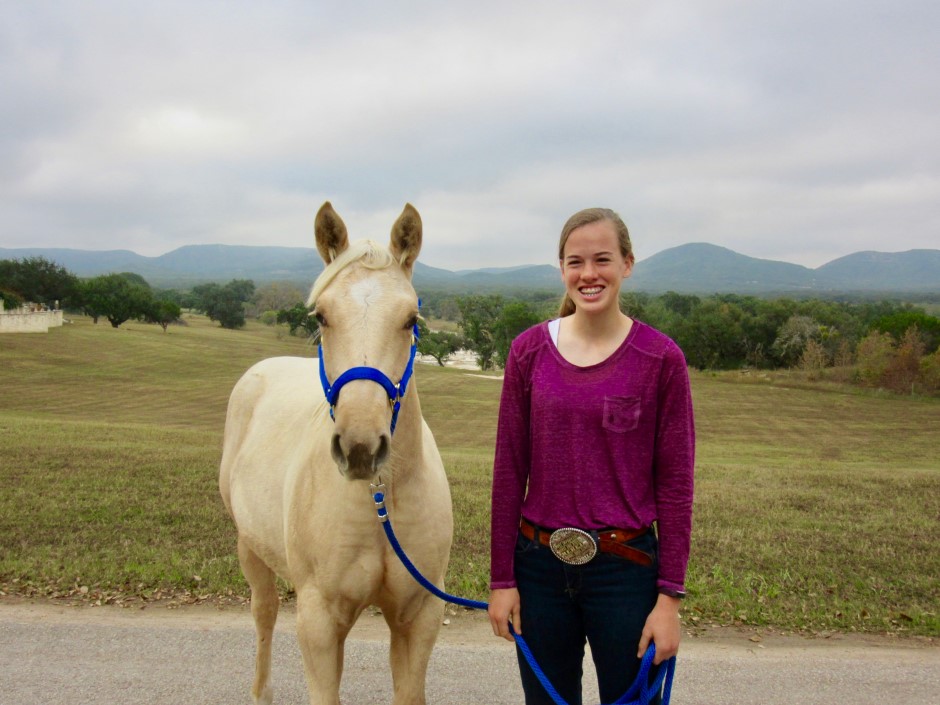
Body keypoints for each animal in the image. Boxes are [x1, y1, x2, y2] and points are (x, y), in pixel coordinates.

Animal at [220, 201, 456, 700]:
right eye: (321, 317)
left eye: (411, 320)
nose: (360, 446)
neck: (382, 501)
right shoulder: (320, 621)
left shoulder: (418, 617)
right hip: (249, 548)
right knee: (264, 613)